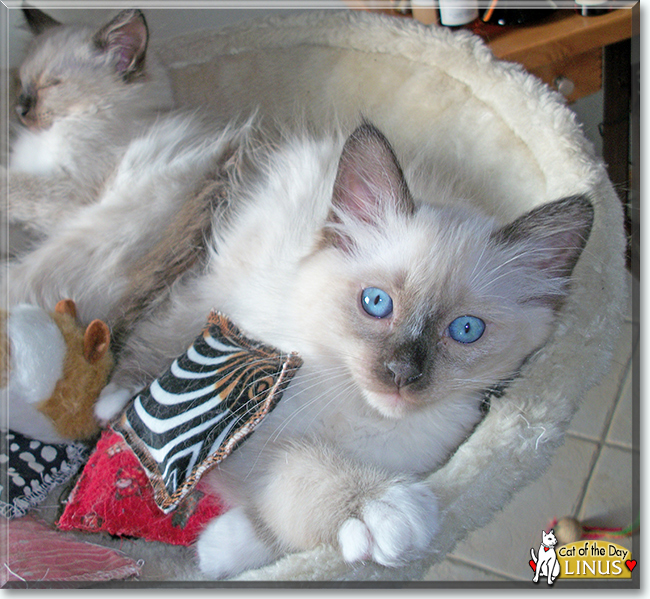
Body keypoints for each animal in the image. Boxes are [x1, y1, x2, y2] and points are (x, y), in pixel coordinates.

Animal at [96, 124, 592, 580]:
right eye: (376, 303)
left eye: (465, 330)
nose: (400, 373)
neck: (368, 423)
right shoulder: (255, 432)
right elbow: (302, 469)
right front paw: (379, 505)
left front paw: (223, 550)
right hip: (218, 292)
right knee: (160, 332)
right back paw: (115, 402)